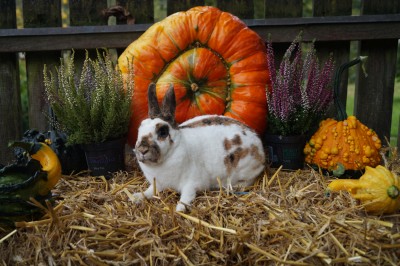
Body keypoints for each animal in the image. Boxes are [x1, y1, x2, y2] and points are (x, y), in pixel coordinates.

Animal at [133, 83, 268, 212]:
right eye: (140, 127)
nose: (142, 150)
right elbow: (150, 191)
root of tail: (259, 146)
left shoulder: (192, 182)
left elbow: (187, 195)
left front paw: (180, 209)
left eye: (163, 132)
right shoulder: (157, 184)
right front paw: (137, 196)